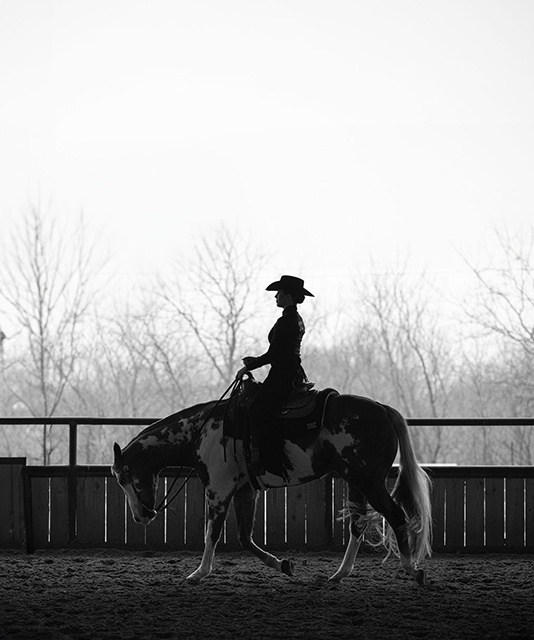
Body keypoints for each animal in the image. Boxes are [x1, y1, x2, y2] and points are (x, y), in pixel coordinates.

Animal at [111, 380, 434, 584]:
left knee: (396, 516)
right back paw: (339, 575)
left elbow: (212, 533)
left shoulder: (218, 491)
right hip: (356, 482)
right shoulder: (245, 492)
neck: (202, 431)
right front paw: (283, 565)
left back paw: (411, 569)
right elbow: (245, 538)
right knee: (357, 525)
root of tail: (382, 408)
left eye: (123, 476)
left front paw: (199, 573)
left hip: (369, 482)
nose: (141, 517)